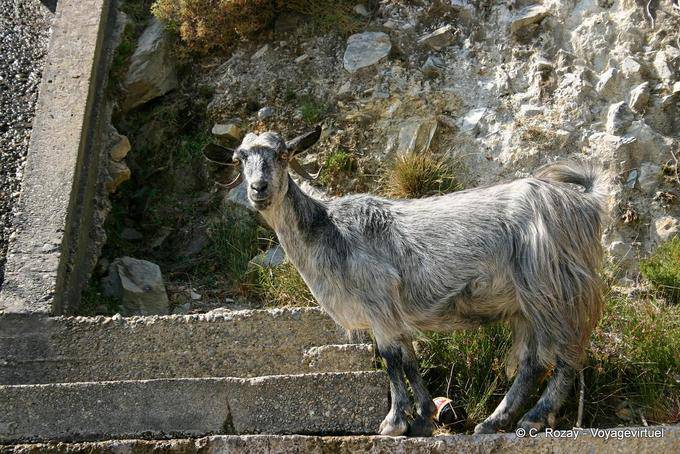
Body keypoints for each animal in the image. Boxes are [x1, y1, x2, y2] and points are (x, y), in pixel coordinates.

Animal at [203, 126, 607, 436]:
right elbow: (410, 359)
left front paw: (394, 422)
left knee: (567, 354)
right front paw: (425, 417)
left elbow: (391, 360)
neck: (329, 231)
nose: (259, 189)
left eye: (283, 153)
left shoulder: (378, 303)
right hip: (524, 305)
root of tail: (584, 203)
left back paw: (533, 419)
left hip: (553, 289)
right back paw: (493, 422)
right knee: (531, 363)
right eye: (240, 157)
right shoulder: (394, 315)